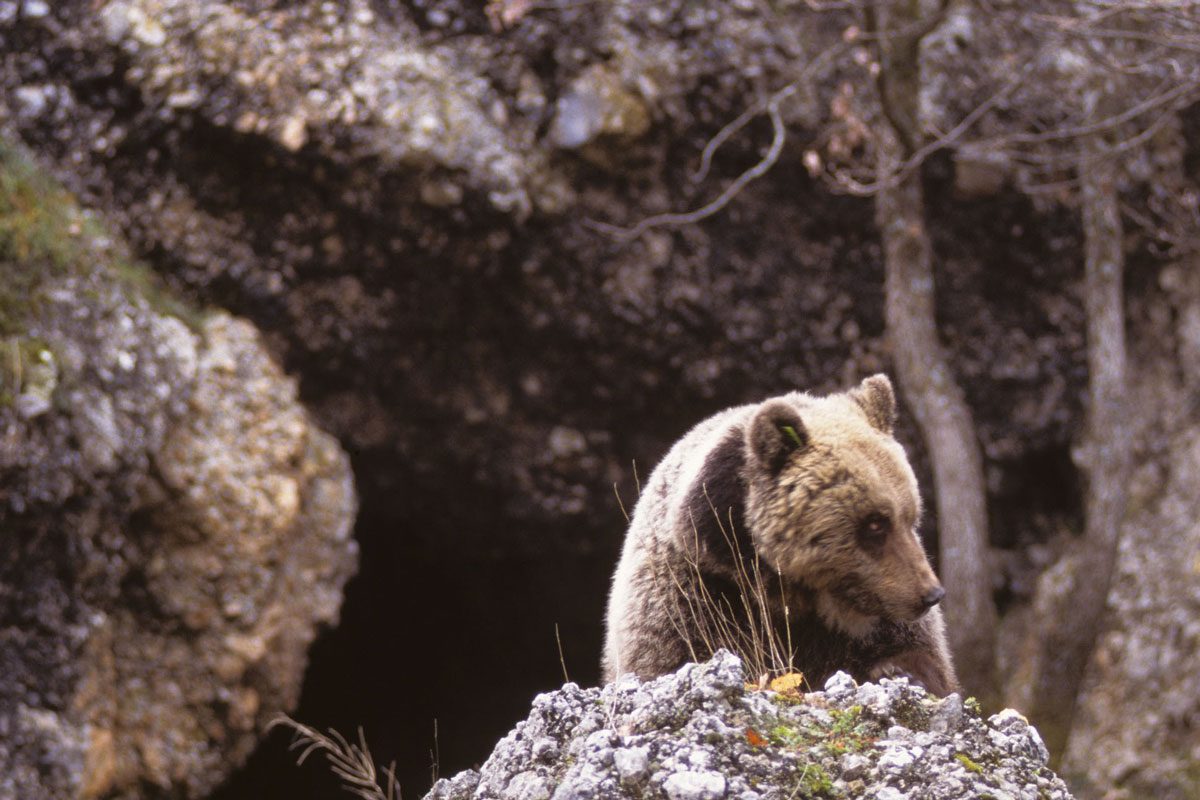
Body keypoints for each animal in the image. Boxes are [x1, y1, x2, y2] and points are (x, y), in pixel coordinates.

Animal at [602, 374, 958, 697]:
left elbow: (921, 655)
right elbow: (674, 656)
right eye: (875, 523)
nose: (931, 594)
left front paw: (899, 671)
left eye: (911, 516)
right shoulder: (692, 595)